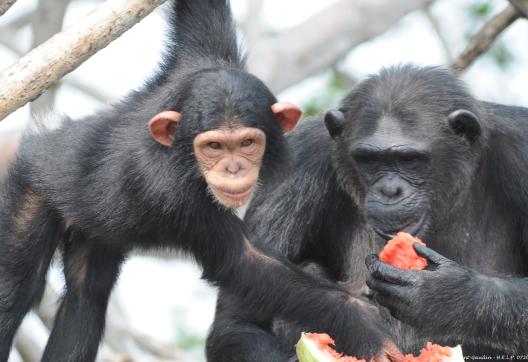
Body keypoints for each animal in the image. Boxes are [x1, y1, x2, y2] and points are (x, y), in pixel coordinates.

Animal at [0, 0, 400, 362]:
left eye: (247, 143)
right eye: (214, 146)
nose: (233, 168)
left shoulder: (206, 54)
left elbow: (201, 13)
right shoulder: (169, 192)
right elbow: (241, 260)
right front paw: (364, 324)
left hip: (94, 232)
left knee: (87, 294)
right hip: (30, 190)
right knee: (14, 288)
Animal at [207, 64, 528, 360]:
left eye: (410, 159)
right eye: (369, 160)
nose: (389, 190)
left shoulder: (521, 147)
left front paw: (446, 296)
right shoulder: (298, 158)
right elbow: (240, 317)